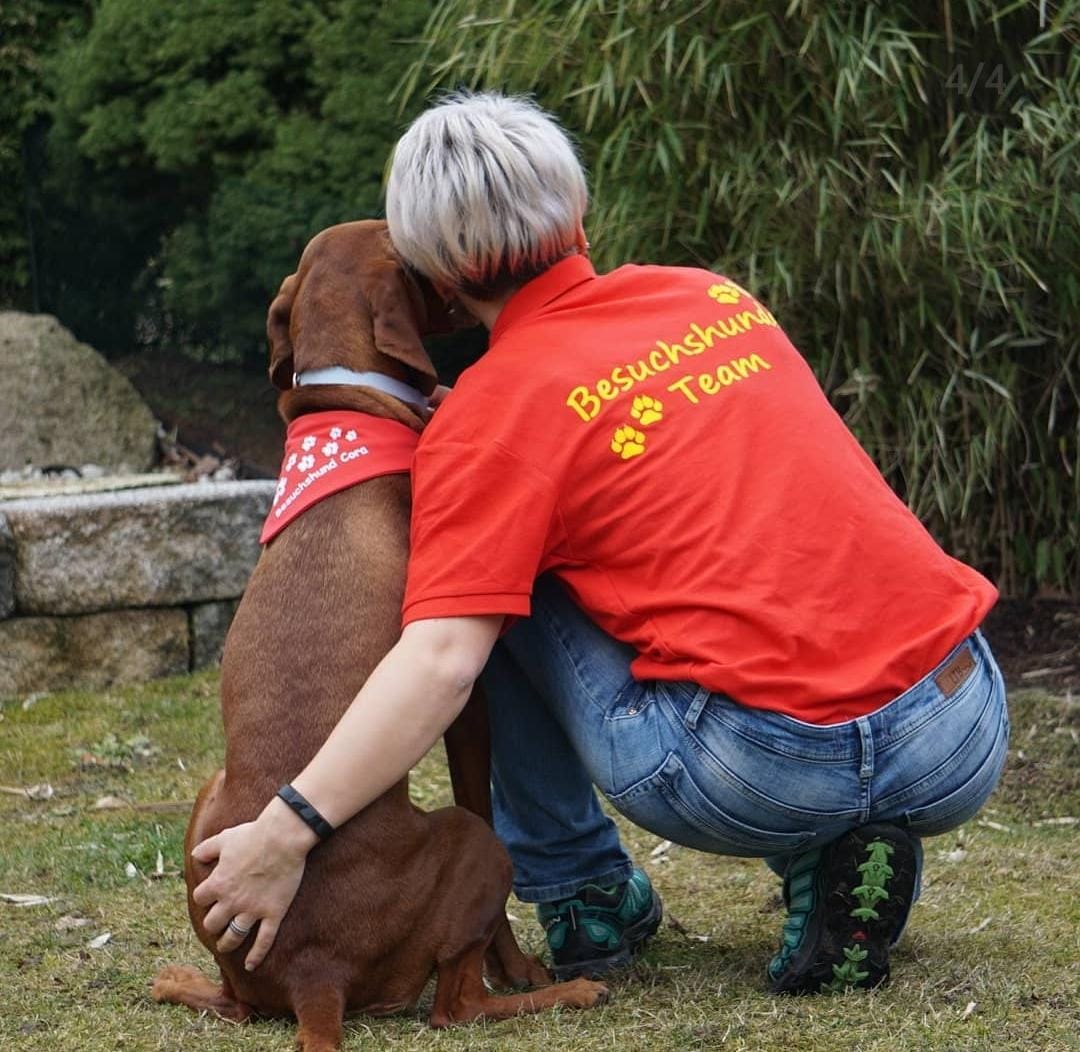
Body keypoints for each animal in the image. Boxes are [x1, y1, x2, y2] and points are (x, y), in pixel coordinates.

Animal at [152, 218, 609, 1049]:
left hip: (206, 812)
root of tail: (314, 976)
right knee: (456, 1007)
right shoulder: (468, 705)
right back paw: (565, 990)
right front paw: (520, 966)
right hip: (472, 846)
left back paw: (178, 980)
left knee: (236, 1001)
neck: (353, 396)